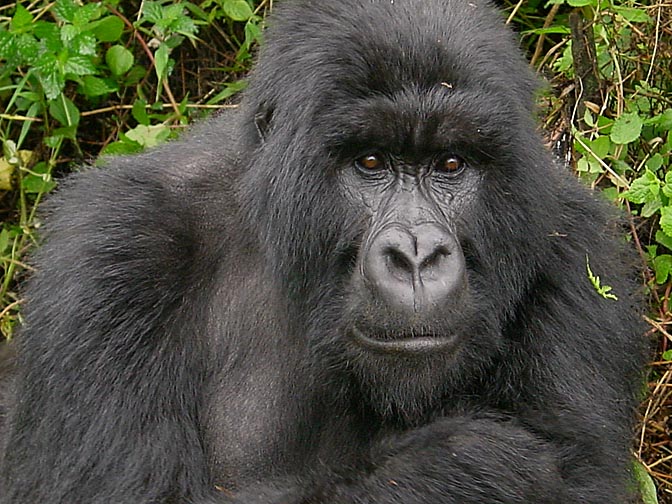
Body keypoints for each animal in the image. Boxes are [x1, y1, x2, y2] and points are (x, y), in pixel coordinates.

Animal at [0, 0, 644, 504]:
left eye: (451, 164)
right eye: (370, 161)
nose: (416, 255)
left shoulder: (574, 247)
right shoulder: (116, 247)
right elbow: (123, 490)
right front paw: (470, 467)